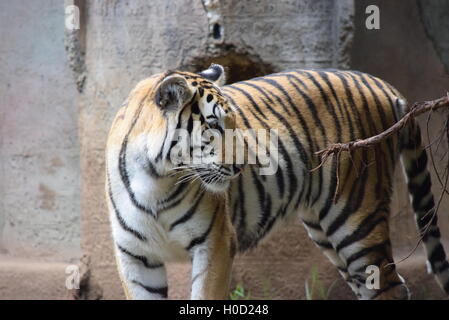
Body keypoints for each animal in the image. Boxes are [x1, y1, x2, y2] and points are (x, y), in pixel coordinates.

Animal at [106, 63, 448, 300]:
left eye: (235, 122)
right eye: (214, 126)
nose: (243, 166)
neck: (156, 180)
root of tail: (384, 85)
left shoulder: (214, 244)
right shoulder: (135, 258)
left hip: (356, 218)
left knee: (390, 287)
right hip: (326, 230)